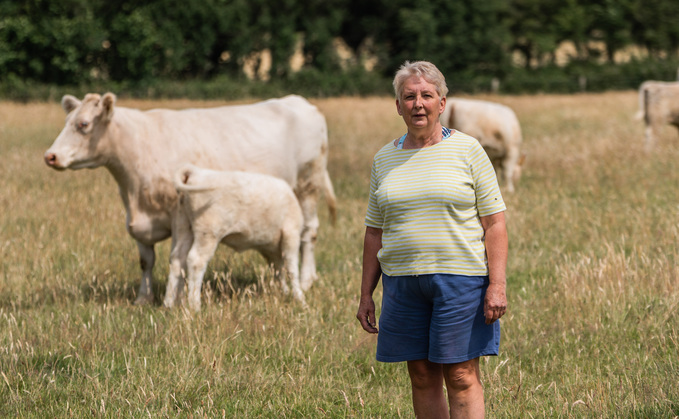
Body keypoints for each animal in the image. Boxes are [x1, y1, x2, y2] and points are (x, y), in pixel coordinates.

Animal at [45, 93, 338, 306]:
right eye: (66, 121)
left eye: (83, 124)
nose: (50, 156)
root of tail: (300, 102)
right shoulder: (138, 221)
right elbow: (146, 261)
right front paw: (144, 298)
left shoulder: (176, 216)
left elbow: (178, 258)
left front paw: (177, 298)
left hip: (308, 185)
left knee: (309, 232)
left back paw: (307, 279)